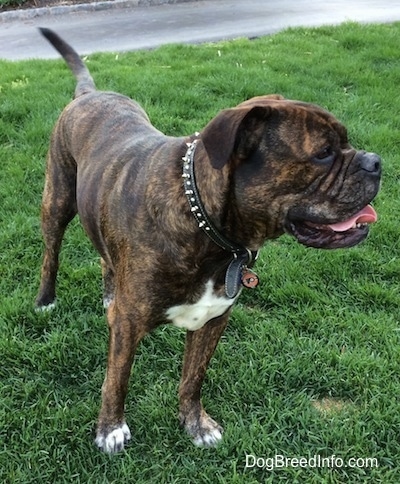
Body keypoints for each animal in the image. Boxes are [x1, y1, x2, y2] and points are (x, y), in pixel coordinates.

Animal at [35, 28, 382, 452]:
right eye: (323, 154)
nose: (376, 162)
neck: (207, 226)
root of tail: (89, 93)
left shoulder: (214, 319)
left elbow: (192, 379)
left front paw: (195, 423)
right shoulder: (129, 326)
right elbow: (116, 380)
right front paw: (110, 429)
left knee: (105, 257)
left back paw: (108, 293)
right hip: (57, 201)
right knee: (51, 253)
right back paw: (45, 300)